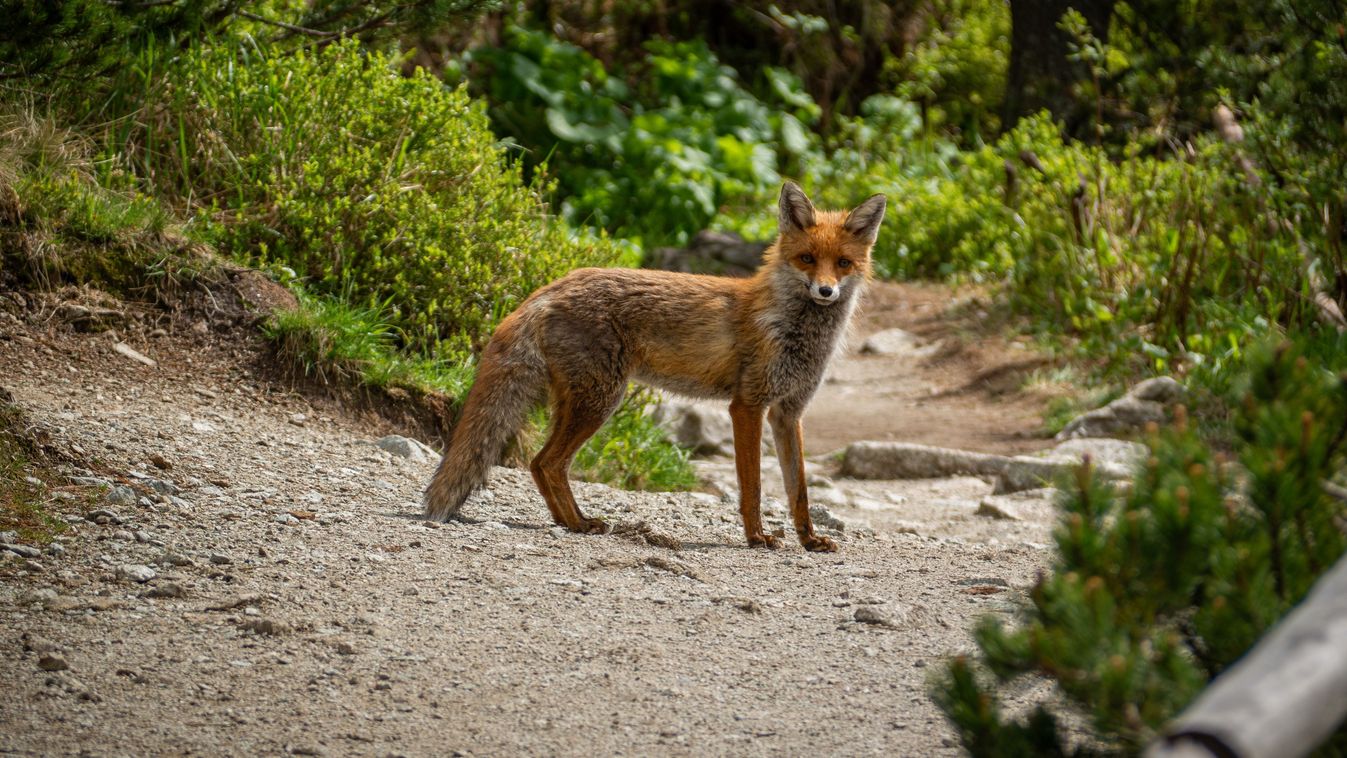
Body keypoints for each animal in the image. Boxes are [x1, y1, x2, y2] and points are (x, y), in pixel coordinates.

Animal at [422, 184, 883, 552]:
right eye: (807, 258)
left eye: (842, 264)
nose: (825, 291)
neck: (792, 329)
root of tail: (552, 286)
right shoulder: (747, 405)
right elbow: (752, 487)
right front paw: (757, 537)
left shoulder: (788, 413)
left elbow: (798, 490)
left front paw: (809, 540)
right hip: (601, 401)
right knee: (547, 462)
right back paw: (578, 524)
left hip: (581, 401)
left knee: (539, 464)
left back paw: (569, 521)